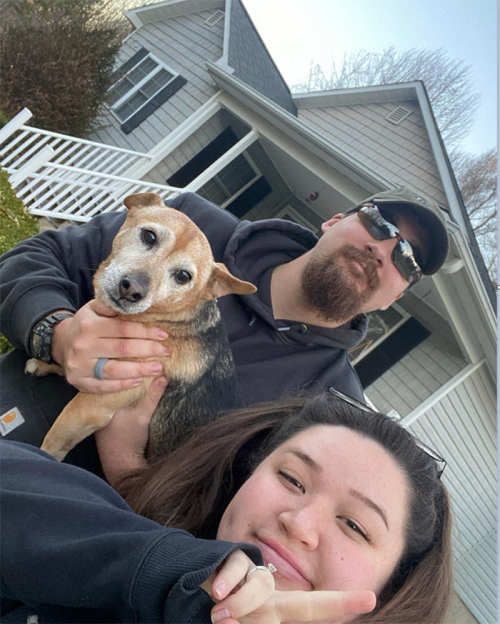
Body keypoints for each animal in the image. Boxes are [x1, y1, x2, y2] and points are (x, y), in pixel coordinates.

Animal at [26, 192, 256, 462]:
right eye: (149, 236)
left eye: (183, 276)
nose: (132, 289)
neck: (167, 319)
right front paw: (45, 364)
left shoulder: (91, 406)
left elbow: (53, 441)